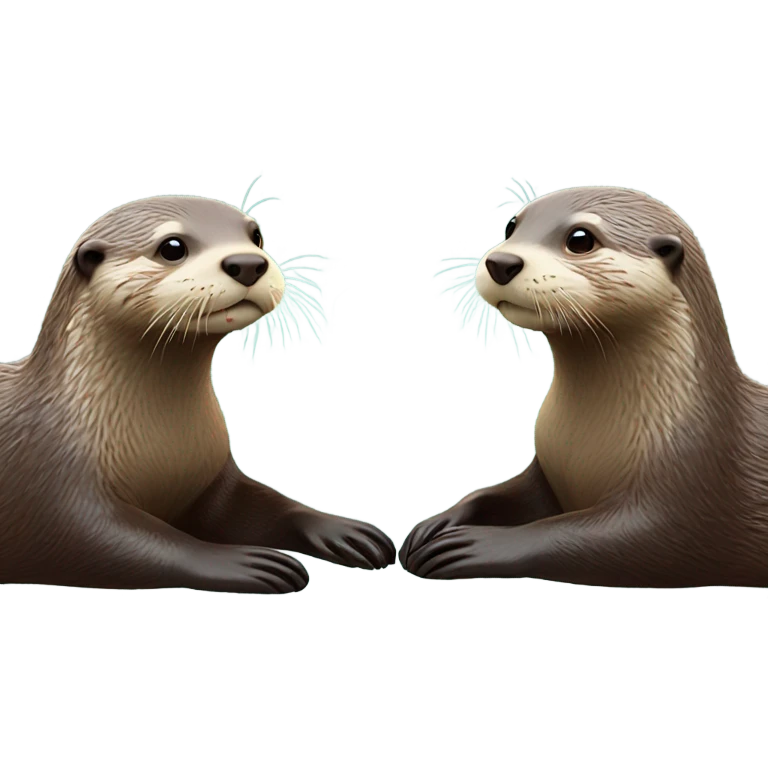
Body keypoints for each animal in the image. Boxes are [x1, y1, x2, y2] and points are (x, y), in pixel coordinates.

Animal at [0, 194, 395, 594]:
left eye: (256, 236)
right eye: (172, 247)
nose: (248, 263)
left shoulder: (213, 478)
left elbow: (260, 505)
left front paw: (343, 529)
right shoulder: (51, 483)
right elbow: (109, 541)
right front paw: (247, 561)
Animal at [399, 185, 767, 588]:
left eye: (580, 239)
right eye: (511, 226)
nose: (501, 262)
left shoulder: (690, 485)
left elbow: (574, 535)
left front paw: (470, 545)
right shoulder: (547, 471)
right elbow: (501, 494)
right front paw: (436, 523)